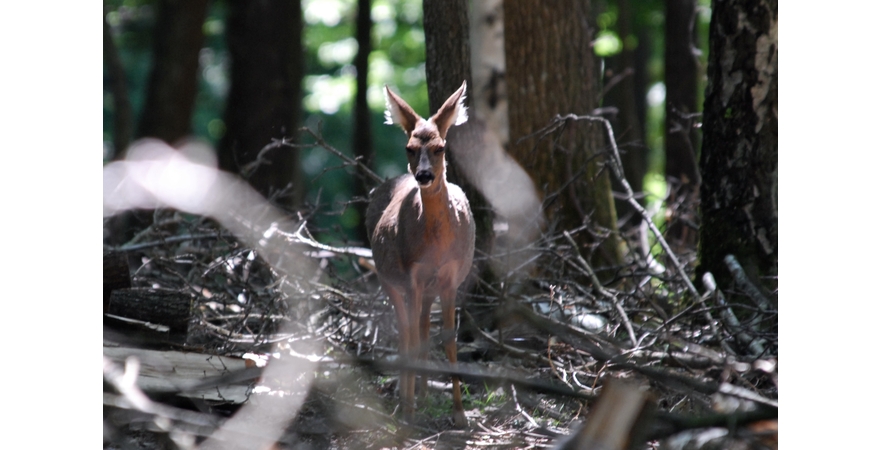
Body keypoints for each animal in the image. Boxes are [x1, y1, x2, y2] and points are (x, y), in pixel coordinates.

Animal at [364, 81, 474, 428]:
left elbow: (450, 339)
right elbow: (411, 337)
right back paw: (408, 396)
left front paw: (459, 413)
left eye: (441, 147)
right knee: (406, 332)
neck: (436, 245)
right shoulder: (409, 274)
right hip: (388, 277)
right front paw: (408, 410)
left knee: (423, 327)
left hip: (428, 287)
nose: (424, 176)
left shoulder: (451, 276)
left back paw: (423, 392)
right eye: (408, 148)